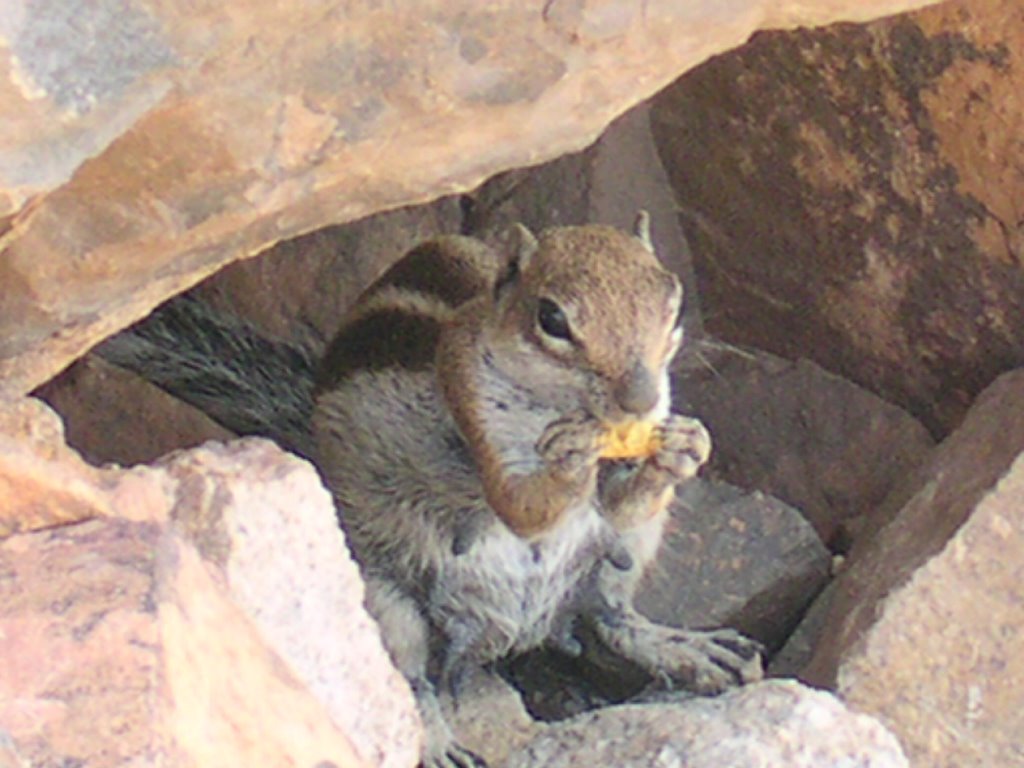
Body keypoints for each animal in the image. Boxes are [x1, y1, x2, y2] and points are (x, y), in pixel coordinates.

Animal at [309, 215, 761, 768]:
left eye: (672, 305)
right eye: (552, 319)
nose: (642, 400)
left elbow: (621, 506)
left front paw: (683, 450)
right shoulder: (475, 412)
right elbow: (521, 508)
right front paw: (568, 458)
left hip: (624, 556)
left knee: (612, 620)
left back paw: (692, 648)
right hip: (382, 592)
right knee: (409, 680)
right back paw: (437, 745)